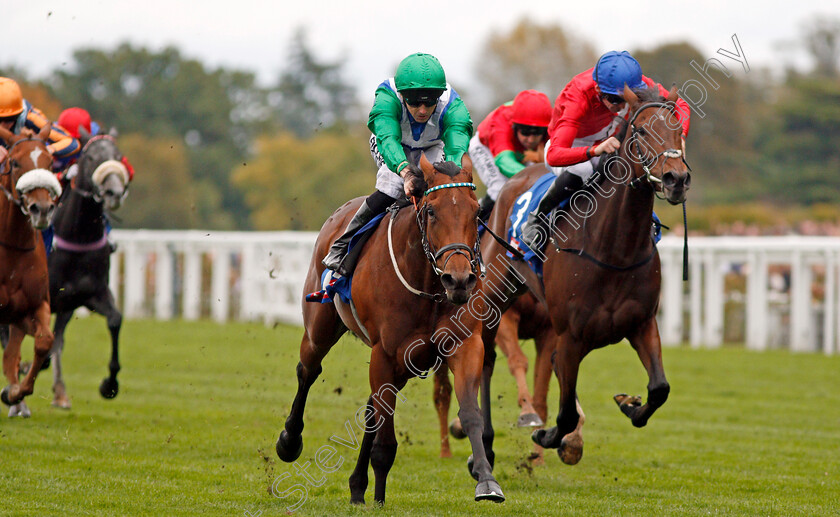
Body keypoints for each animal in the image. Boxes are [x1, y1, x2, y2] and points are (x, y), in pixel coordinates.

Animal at [46, 129, 128, 408]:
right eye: (91, 157)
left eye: (118, 156)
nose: (114, 192)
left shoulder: (90, 294)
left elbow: (115, 319)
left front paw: (109, 386)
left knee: (57, 339)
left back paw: (59, 391)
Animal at [276, 155, 502, 502]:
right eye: (431, 211)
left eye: (476, 211)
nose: (460, 280)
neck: (428, 285)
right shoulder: (385, 352)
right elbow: (384, 441)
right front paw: (380, 499)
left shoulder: (463, 345)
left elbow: (470, 413)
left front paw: (486, 480)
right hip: (321, 329)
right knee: (308, 370)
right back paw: (290, 441)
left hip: (406, 364)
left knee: (373, 406)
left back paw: (357, 486)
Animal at [476, 84, 692, 464]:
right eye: (641, 131)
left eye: (678, 129)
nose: (676, 179)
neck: (614, 250)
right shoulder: (570, 336)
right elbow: (563, 414)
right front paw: (546, 435)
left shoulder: (641, 324)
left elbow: (659, 388)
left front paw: (630, 405)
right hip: (494, 297)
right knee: (486, 359)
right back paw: (484, 443)